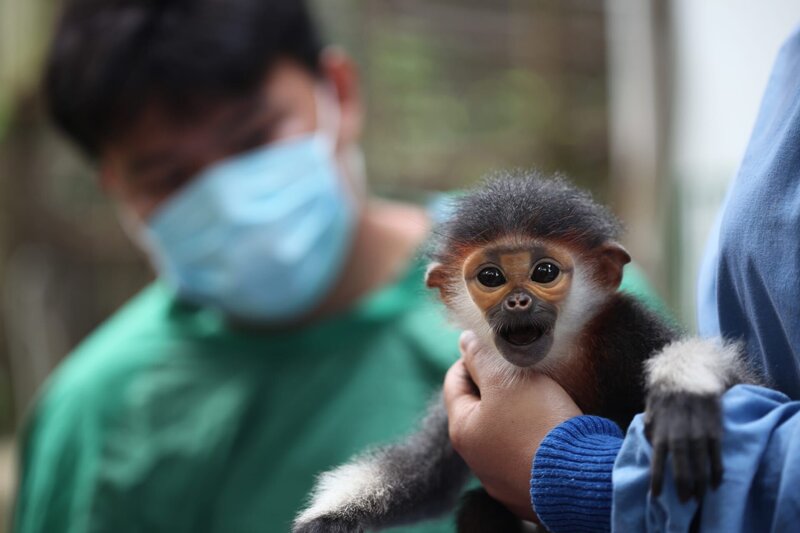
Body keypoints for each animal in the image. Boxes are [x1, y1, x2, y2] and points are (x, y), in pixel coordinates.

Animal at [293, 171, 756, 533]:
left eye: (544, 272)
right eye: (491, 277)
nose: (517, 302)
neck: (559, 358)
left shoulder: (626, 326)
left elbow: (751, 382)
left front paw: (684, 391)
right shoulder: (467, 374)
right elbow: (427, 481)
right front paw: (329, 517)